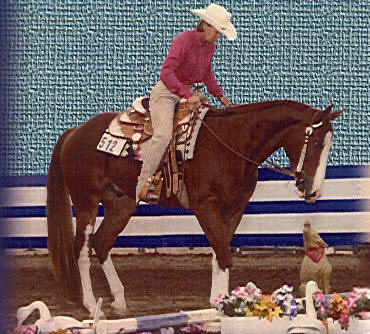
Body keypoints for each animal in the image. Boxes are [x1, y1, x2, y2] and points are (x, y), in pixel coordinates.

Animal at [46, 98, 344, 318]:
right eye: (317, 143)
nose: (313, 191)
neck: (231, 144)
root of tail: (75, 132)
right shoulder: (205, 206)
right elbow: (224, 255)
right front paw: (223, 306)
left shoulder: (234, 210)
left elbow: (220, 254)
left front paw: (220, 300)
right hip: (86, 201)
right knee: (82, 250)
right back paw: (88, 303)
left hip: (122, 203)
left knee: (102, 242)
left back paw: (119, 301)